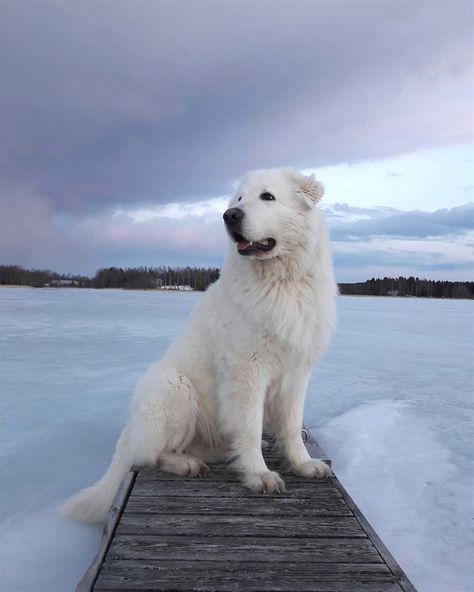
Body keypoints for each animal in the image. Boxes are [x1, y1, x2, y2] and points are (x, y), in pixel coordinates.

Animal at [63, 168, 336, 524]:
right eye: (239, 199)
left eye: (268, 197)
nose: (230, 215)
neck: (282, 281)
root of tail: (129, 431)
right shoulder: (247, 372)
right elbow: (250, 428)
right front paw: (259, 475)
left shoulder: (296, 373)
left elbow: (291, 427)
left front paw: (303, 464)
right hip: (173, 387)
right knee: (151, 455)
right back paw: (188, 464)